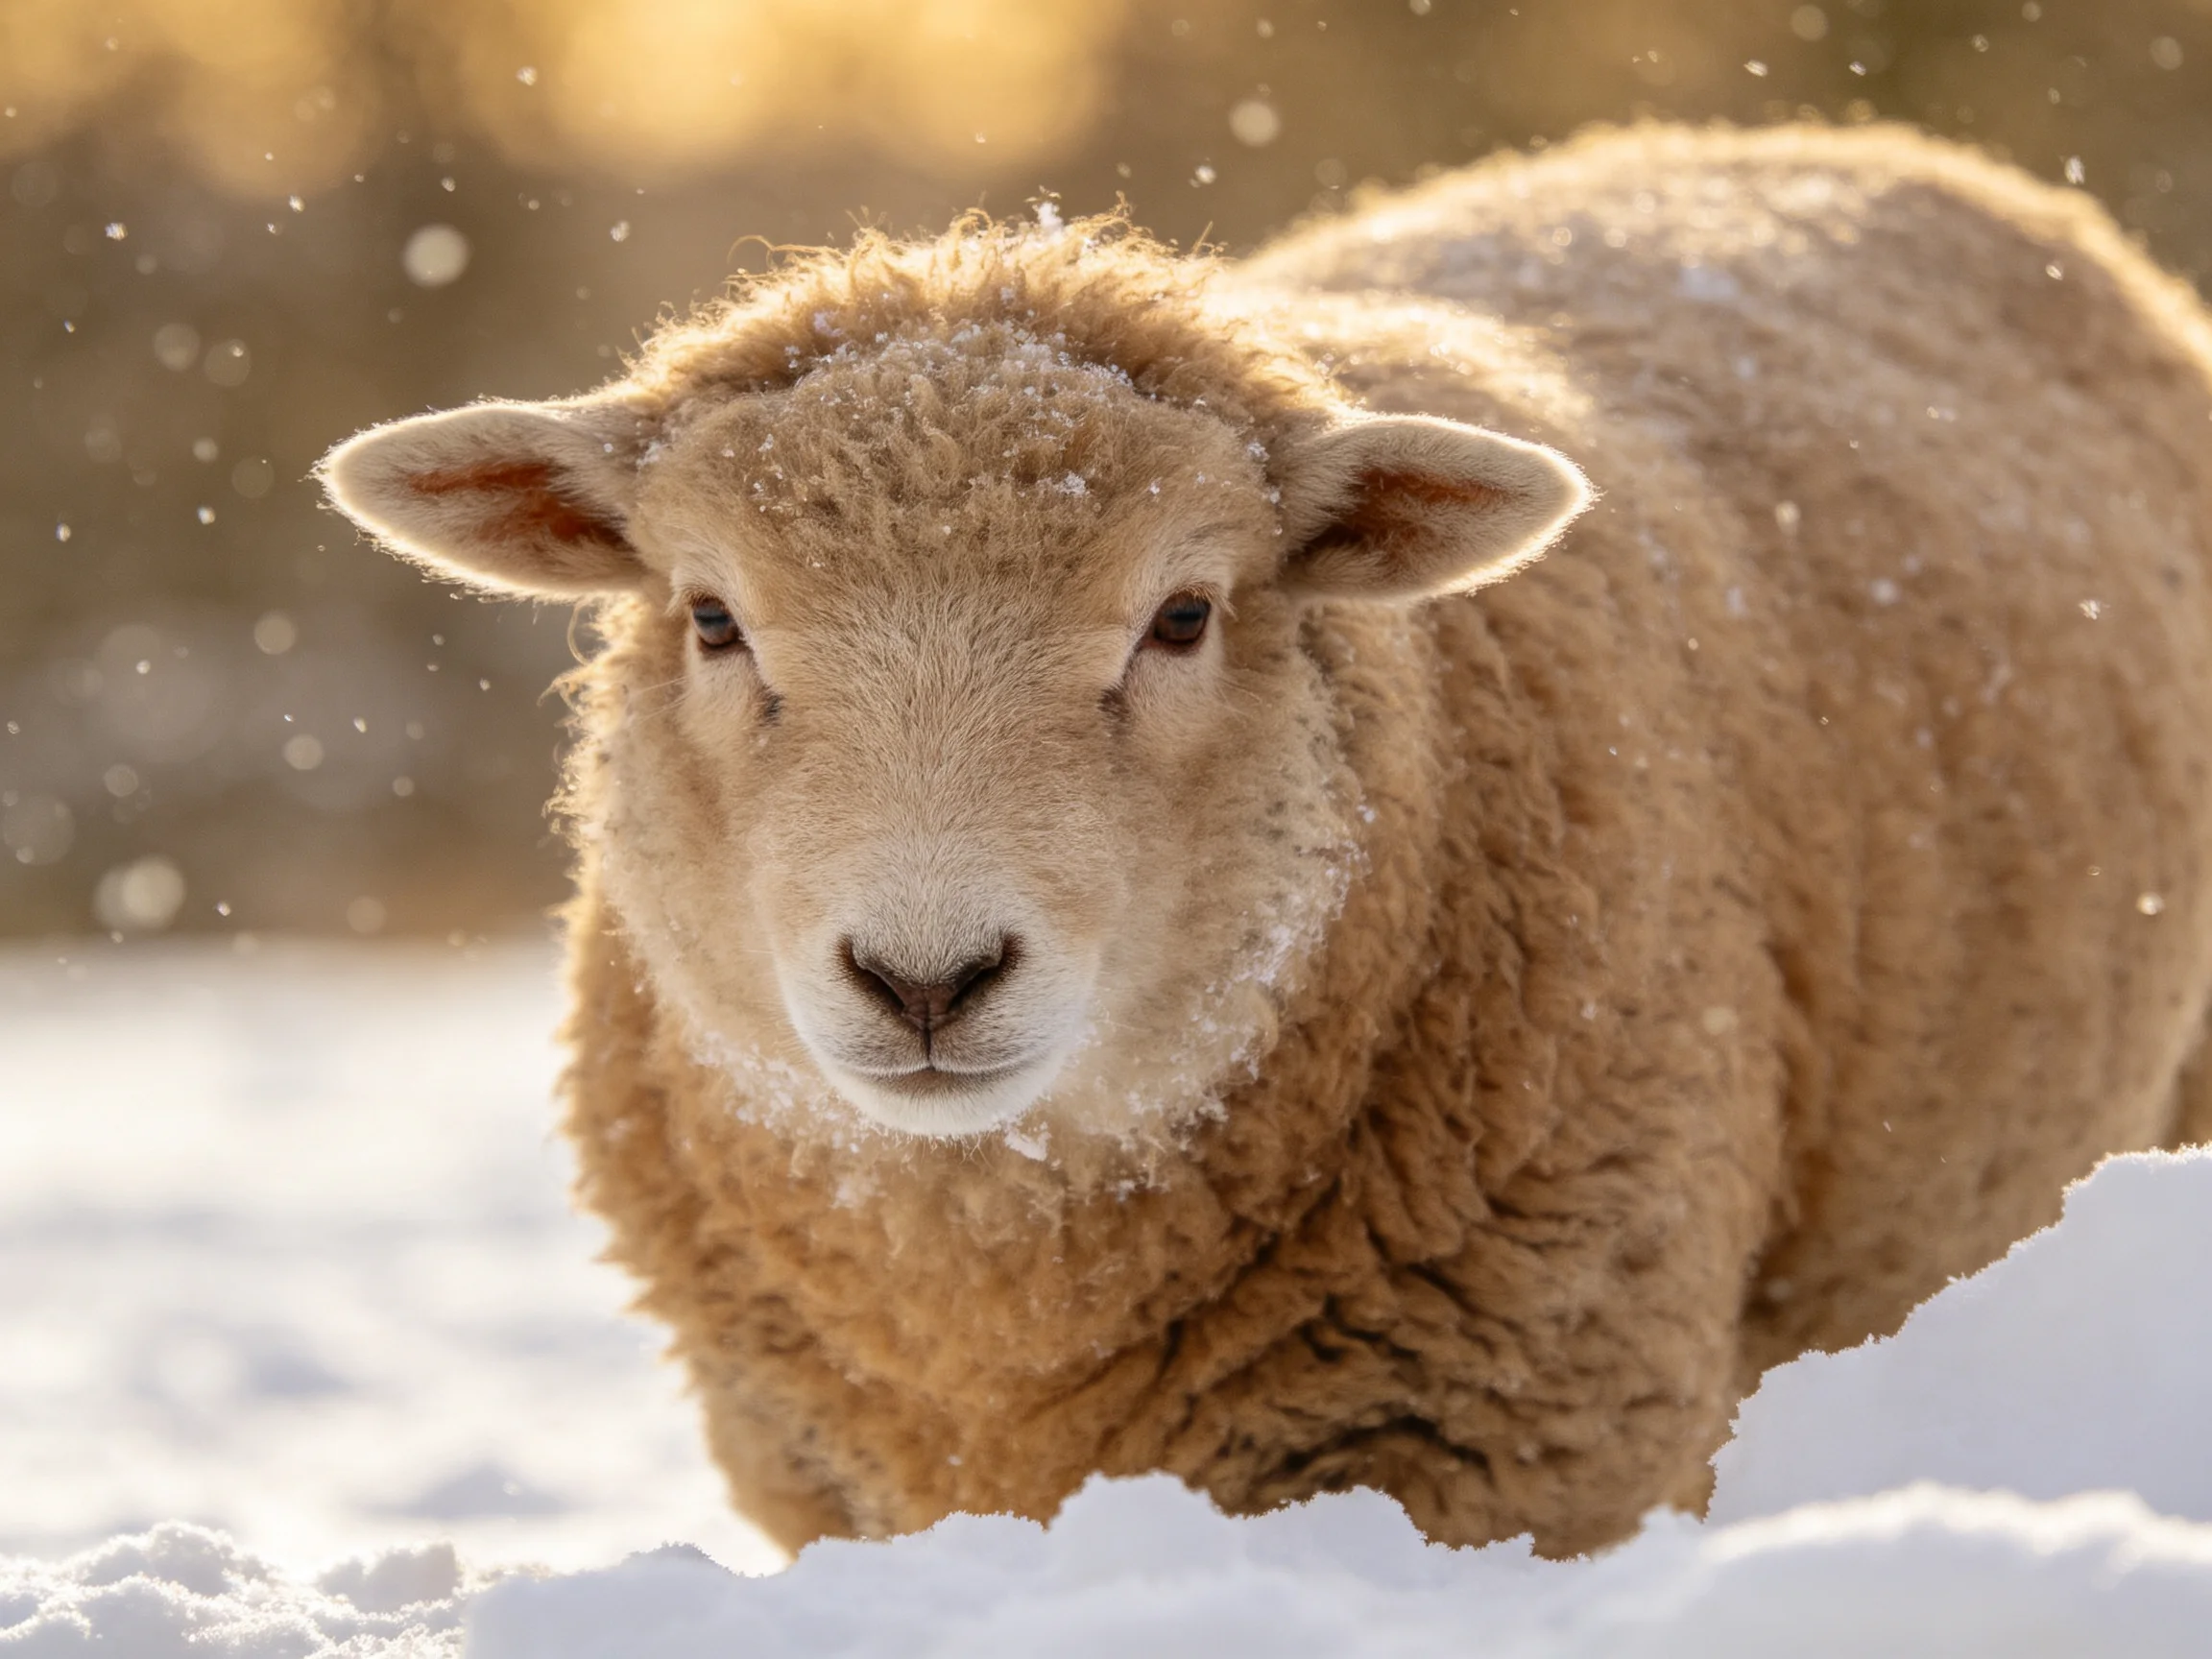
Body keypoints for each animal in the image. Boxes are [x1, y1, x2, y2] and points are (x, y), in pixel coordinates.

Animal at [319, 122, 2212, 1559]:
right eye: (712, 618)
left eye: (1183, 616)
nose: (925, 976)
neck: (993, 1312)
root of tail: (1860, 145)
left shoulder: (1518, 1437)